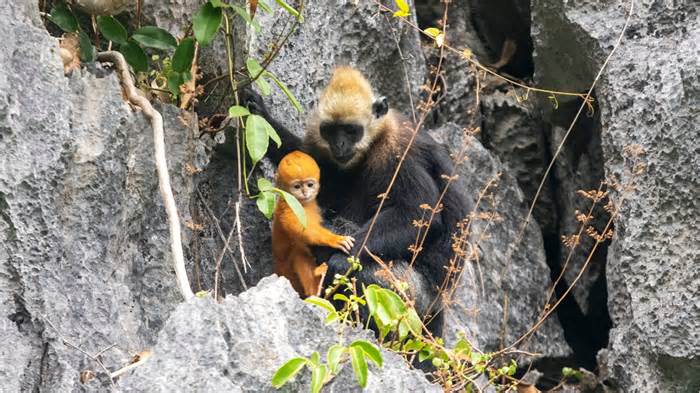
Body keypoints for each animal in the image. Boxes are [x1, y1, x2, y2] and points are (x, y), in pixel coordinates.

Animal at [270, 151, 352, 298]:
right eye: (297, 187)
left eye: (309, 185)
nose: (305, 192)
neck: (304, 204)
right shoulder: (289, 208)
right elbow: (303, 230)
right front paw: (334, 239)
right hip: (289, 274)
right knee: (297, 250)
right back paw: (315, 287)